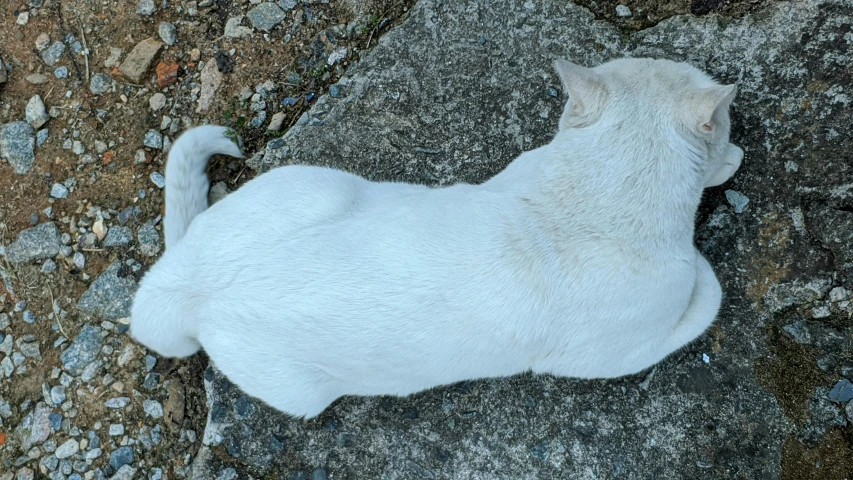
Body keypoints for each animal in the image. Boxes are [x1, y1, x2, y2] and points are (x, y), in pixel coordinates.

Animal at [130, 58, 744, 418]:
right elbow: (708, 294)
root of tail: (183, 282)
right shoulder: (611, 355)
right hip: (302, 391)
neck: (592, 196)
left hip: (310, 184)